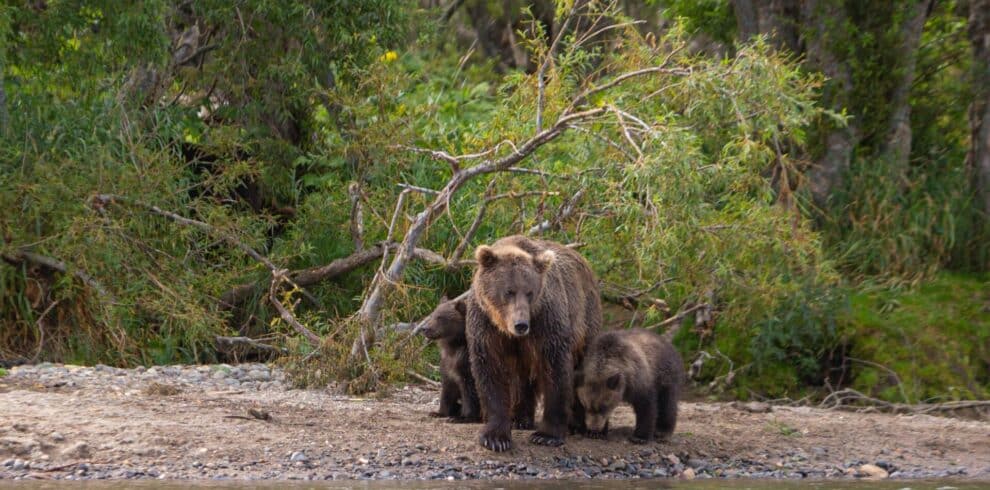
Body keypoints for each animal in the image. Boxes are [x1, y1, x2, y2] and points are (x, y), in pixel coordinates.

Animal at [419, 293, 537, 428]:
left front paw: (463, 417)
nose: (424, 328)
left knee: (521, 394)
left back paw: (520, 421)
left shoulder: (468, 365)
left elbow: (471, 391)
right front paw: (438, 412)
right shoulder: (448, 364)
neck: (455, 345)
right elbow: (448, 389)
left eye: (440, 317)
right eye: (432, 314)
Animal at [466, 235, 602, 451]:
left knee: (585, 367)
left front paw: (547, 435)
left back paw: (580, 425)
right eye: (509, 291)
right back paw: (520, 418)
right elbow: (490, 370)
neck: (503, 325)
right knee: (521, 378)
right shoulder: (485, 324)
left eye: (529, 292)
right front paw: (496, 438)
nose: (521, 325)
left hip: (586, 317)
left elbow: (555, 369)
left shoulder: (546, 319)